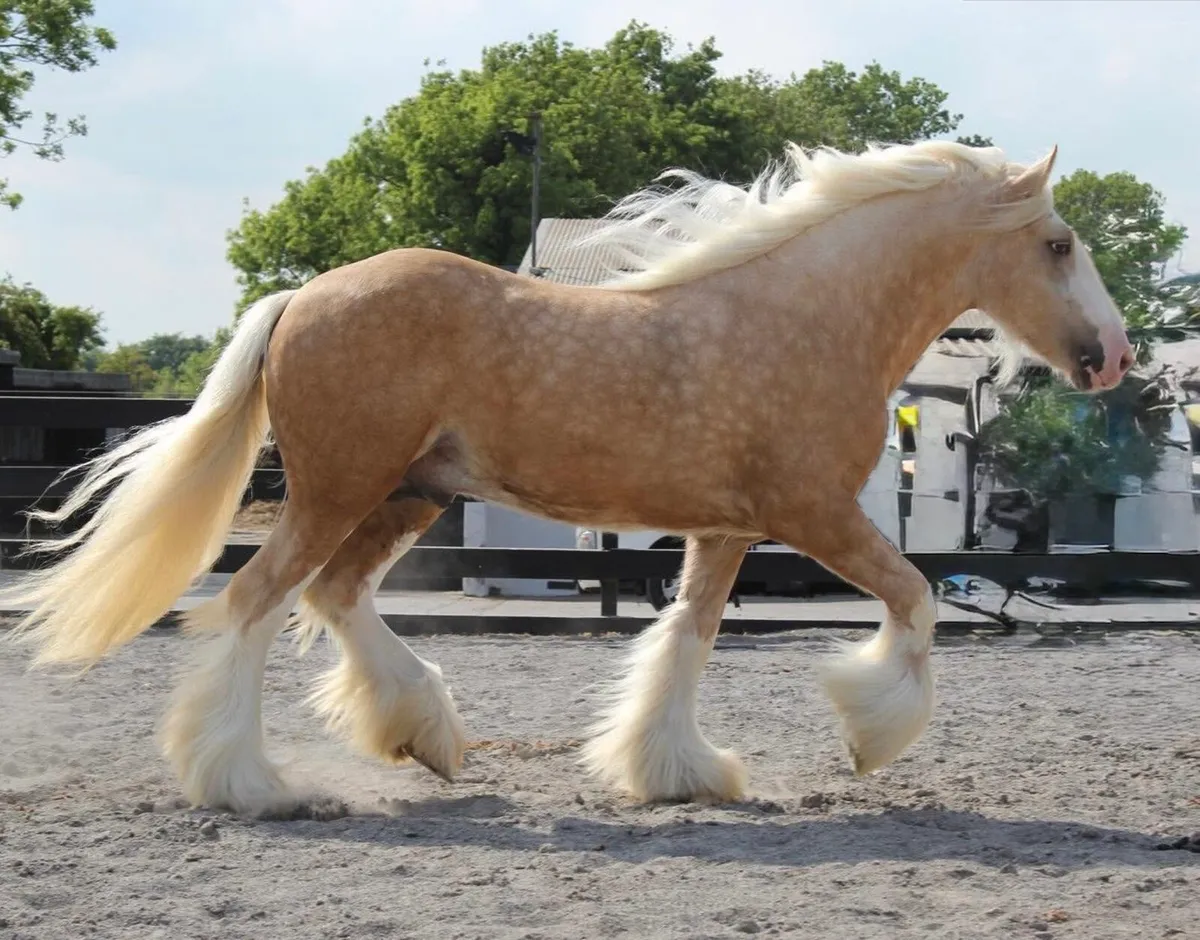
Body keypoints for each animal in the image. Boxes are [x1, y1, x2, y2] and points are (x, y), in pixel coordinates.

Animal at [1, 139, 1133, 816]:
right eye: (1057, 243)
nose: (1113, 356)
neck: (805, 319)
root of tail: (302, 298)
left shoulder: (725, 528)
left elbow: (685, 639)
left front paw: (677, 772)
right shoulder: (812, 514)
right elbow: (916, 599)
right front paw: (869, 736)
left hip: (411, 494)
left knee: (335, 597)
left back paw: (425, 735)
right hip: (338, 490)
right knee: (253, 602)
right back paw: (252, 784)